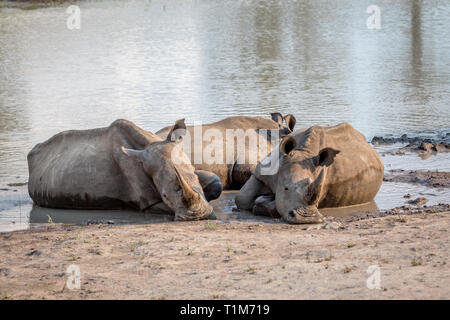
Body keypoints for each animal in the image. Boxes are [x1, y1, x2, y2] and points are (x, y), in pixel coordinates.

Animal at [236, 122, 384, 225]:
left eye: (316, 198)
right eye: (285, 188)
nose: (307, 219)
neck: (303, 152)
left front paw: (262, 201)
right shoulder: (263, 170)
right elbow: (242, 198)